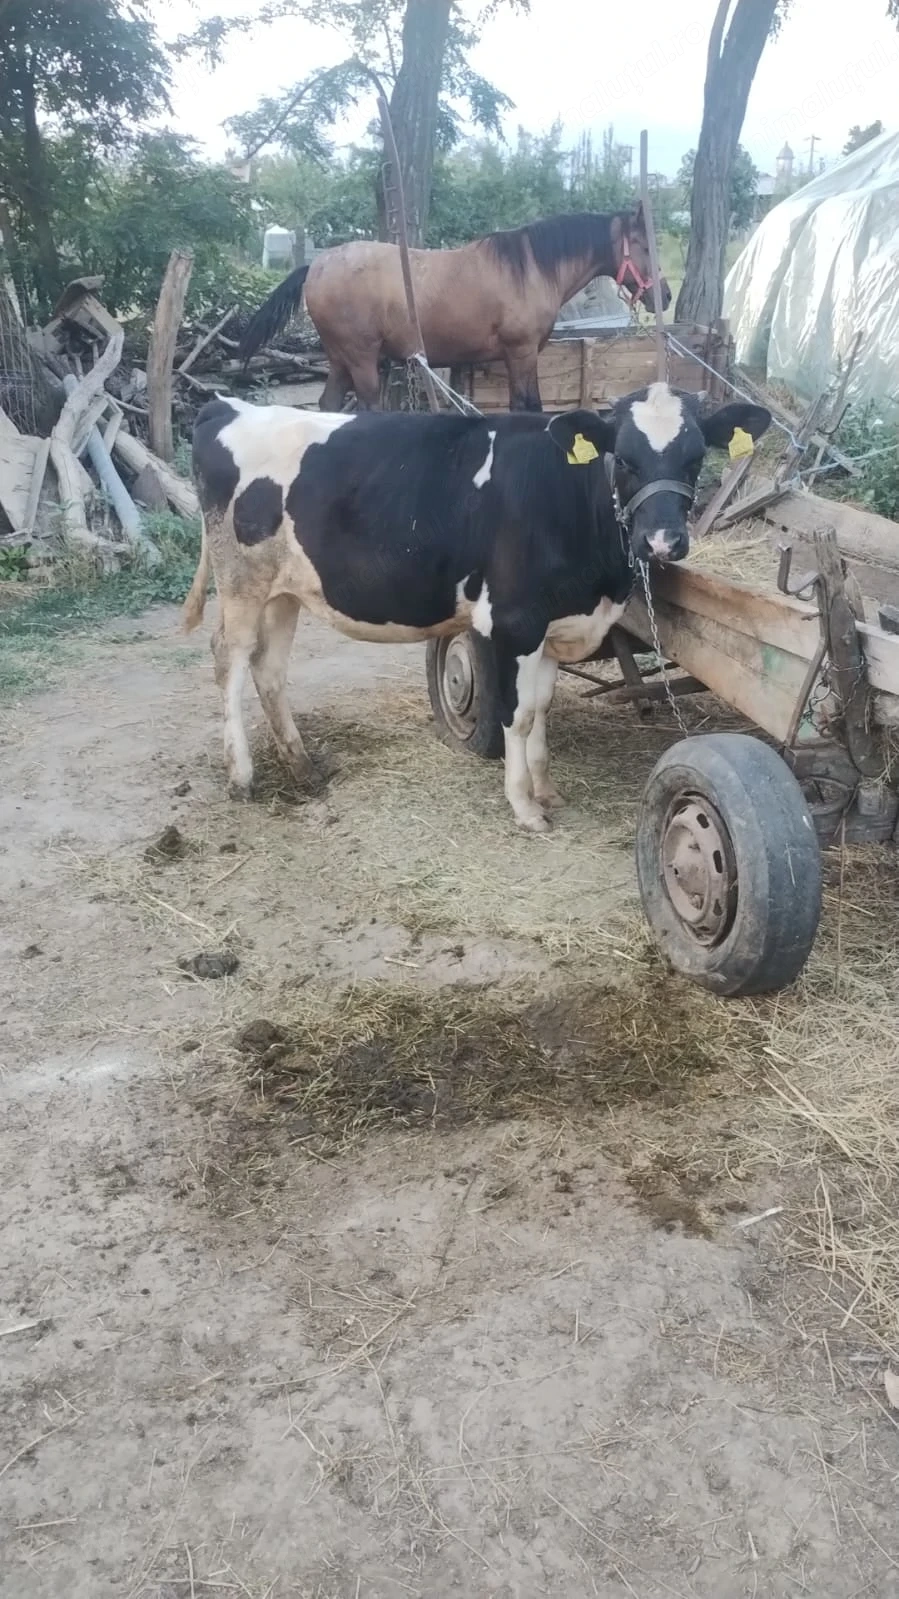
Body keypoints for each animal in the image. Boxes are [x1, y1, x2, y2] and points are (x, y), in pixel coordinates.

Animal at [184, 386, 772, 833]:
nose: (663, 542)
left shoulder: (553, 625)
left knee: (269, 668)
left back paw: (301, 765)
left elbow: (541, 708)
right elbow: (517, 713)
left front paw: (546, 789)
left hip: (284, 590)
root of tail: (228, 407)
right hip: (240, 582)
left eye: (695, 459)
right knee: (229, 659)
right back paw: (242, 776)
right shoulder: (513, 621)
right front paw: (525, 806)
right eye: (623, 459)